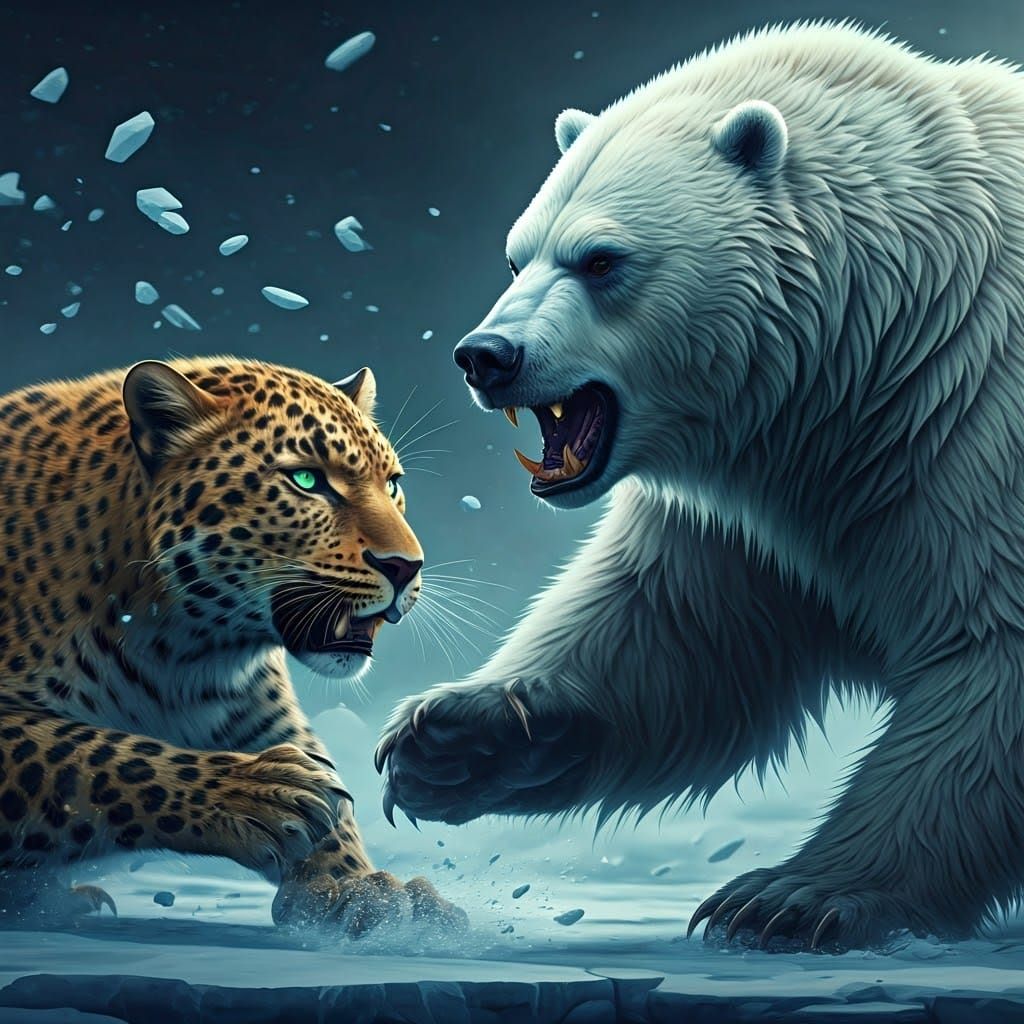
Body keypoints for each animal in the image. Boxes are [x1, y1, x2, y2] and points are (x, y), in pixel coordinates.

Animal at [0, 356, 465, 938]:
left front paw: (359, 889)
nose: (406, 566)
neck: (181, 651)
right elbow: (92, 755)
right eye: (307, 479)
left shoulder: (259, 714)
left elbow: (337, 812)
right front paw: (254, 793)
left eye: (394, 484)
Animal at [376, 20, 1024, 950]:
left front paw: (792, 896)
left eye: (600, 259)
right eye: (517, 253)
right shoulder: (769, 496)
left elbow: (991, 660)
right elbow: (677, 636)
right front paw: (453, 734)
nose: (485, 356)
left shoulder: (975, 434)